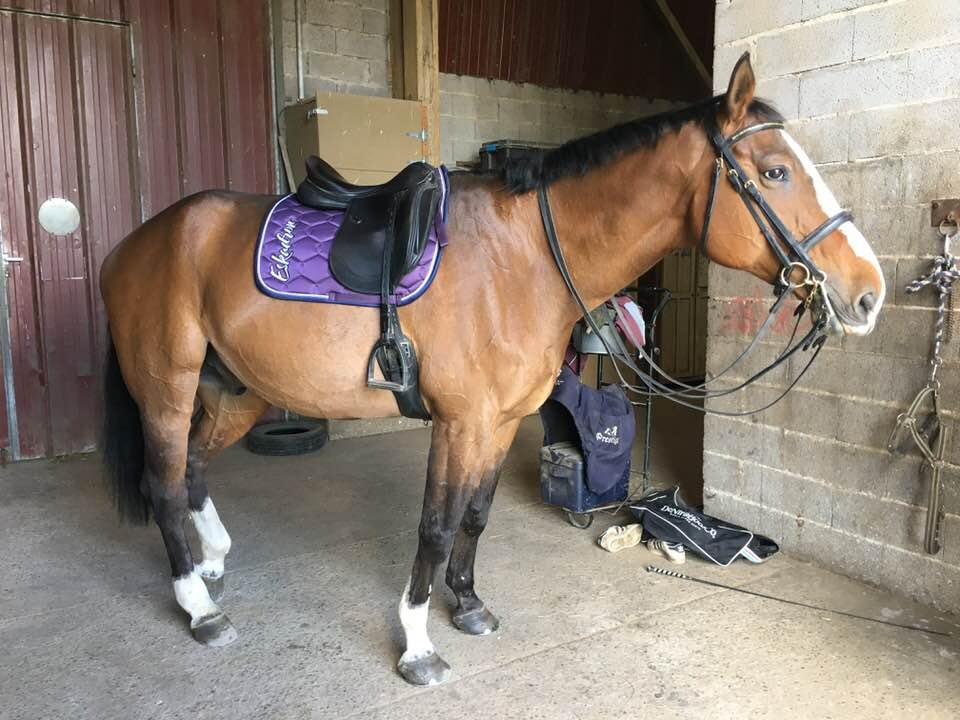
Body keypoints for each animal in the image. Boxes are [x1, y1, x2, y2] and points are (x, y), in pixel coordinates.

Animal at [99, 54, 884, 686]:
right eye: (775, 172)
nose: (868, 293)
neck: (525, 257)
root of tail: (134, 245)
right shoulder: (459, 421)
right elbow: (435, 525)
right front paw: (418, 646)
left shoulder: (502, 421)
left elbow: (475, 516)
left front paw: (470, 606)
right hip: (167, 389)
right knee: (163, 484)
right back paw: (200, 608)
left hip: (234, 392)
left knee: (194, 466)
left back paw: (212, 564)